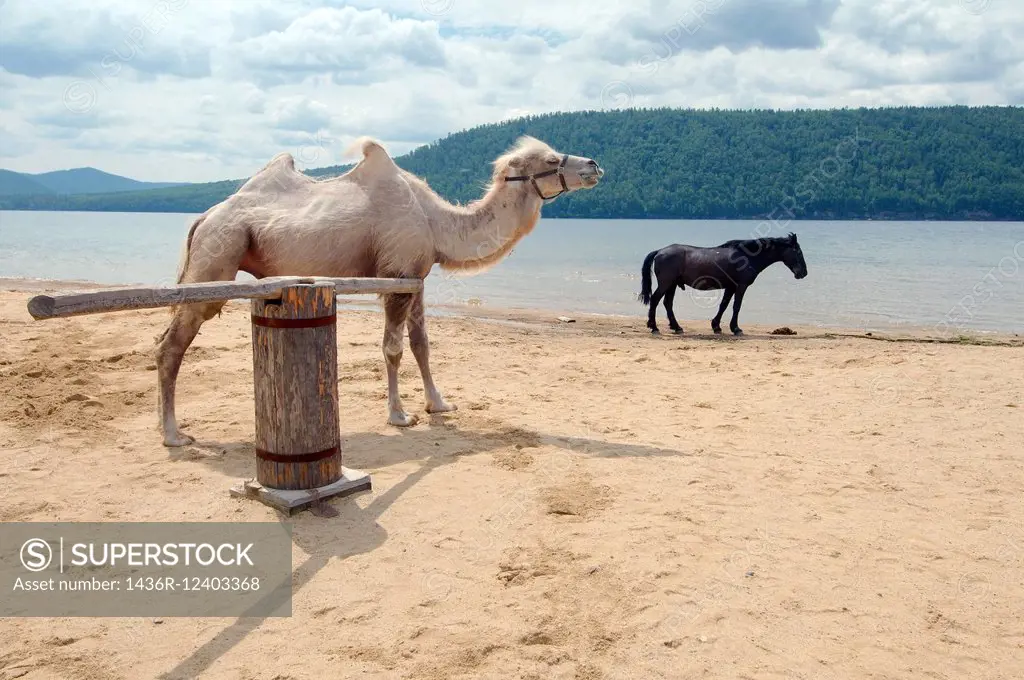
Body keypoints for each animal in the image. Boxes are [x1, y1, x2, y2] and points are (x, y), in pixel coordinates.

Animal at [155, 136, 602, 448]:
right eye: (550, 159)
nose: (594, 164)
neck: (436, 222)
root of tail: (203, 217)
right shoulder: (396, 275)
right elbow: (393, 349)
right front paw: (399, 415)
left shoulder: (417, 278)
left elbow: (422, 344)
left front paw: (438, 403)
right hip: (220, 251)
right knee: (171, 344)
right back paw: (174, 435)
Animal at [638, 232, 806, 335]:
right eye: (798, 251)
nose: (803, 273)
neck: (748, 256)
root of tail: (660, 251)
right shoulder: (741, 286)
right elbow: (736, 306)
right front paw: (736, 328)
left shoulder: (730, 287)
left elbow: (724, 305)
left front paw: (716, 326)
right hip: (666, 283)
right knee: (655, 300)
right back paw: (654, 327)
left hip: (672, 285)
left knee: (667, 303)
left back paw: (676, 327)